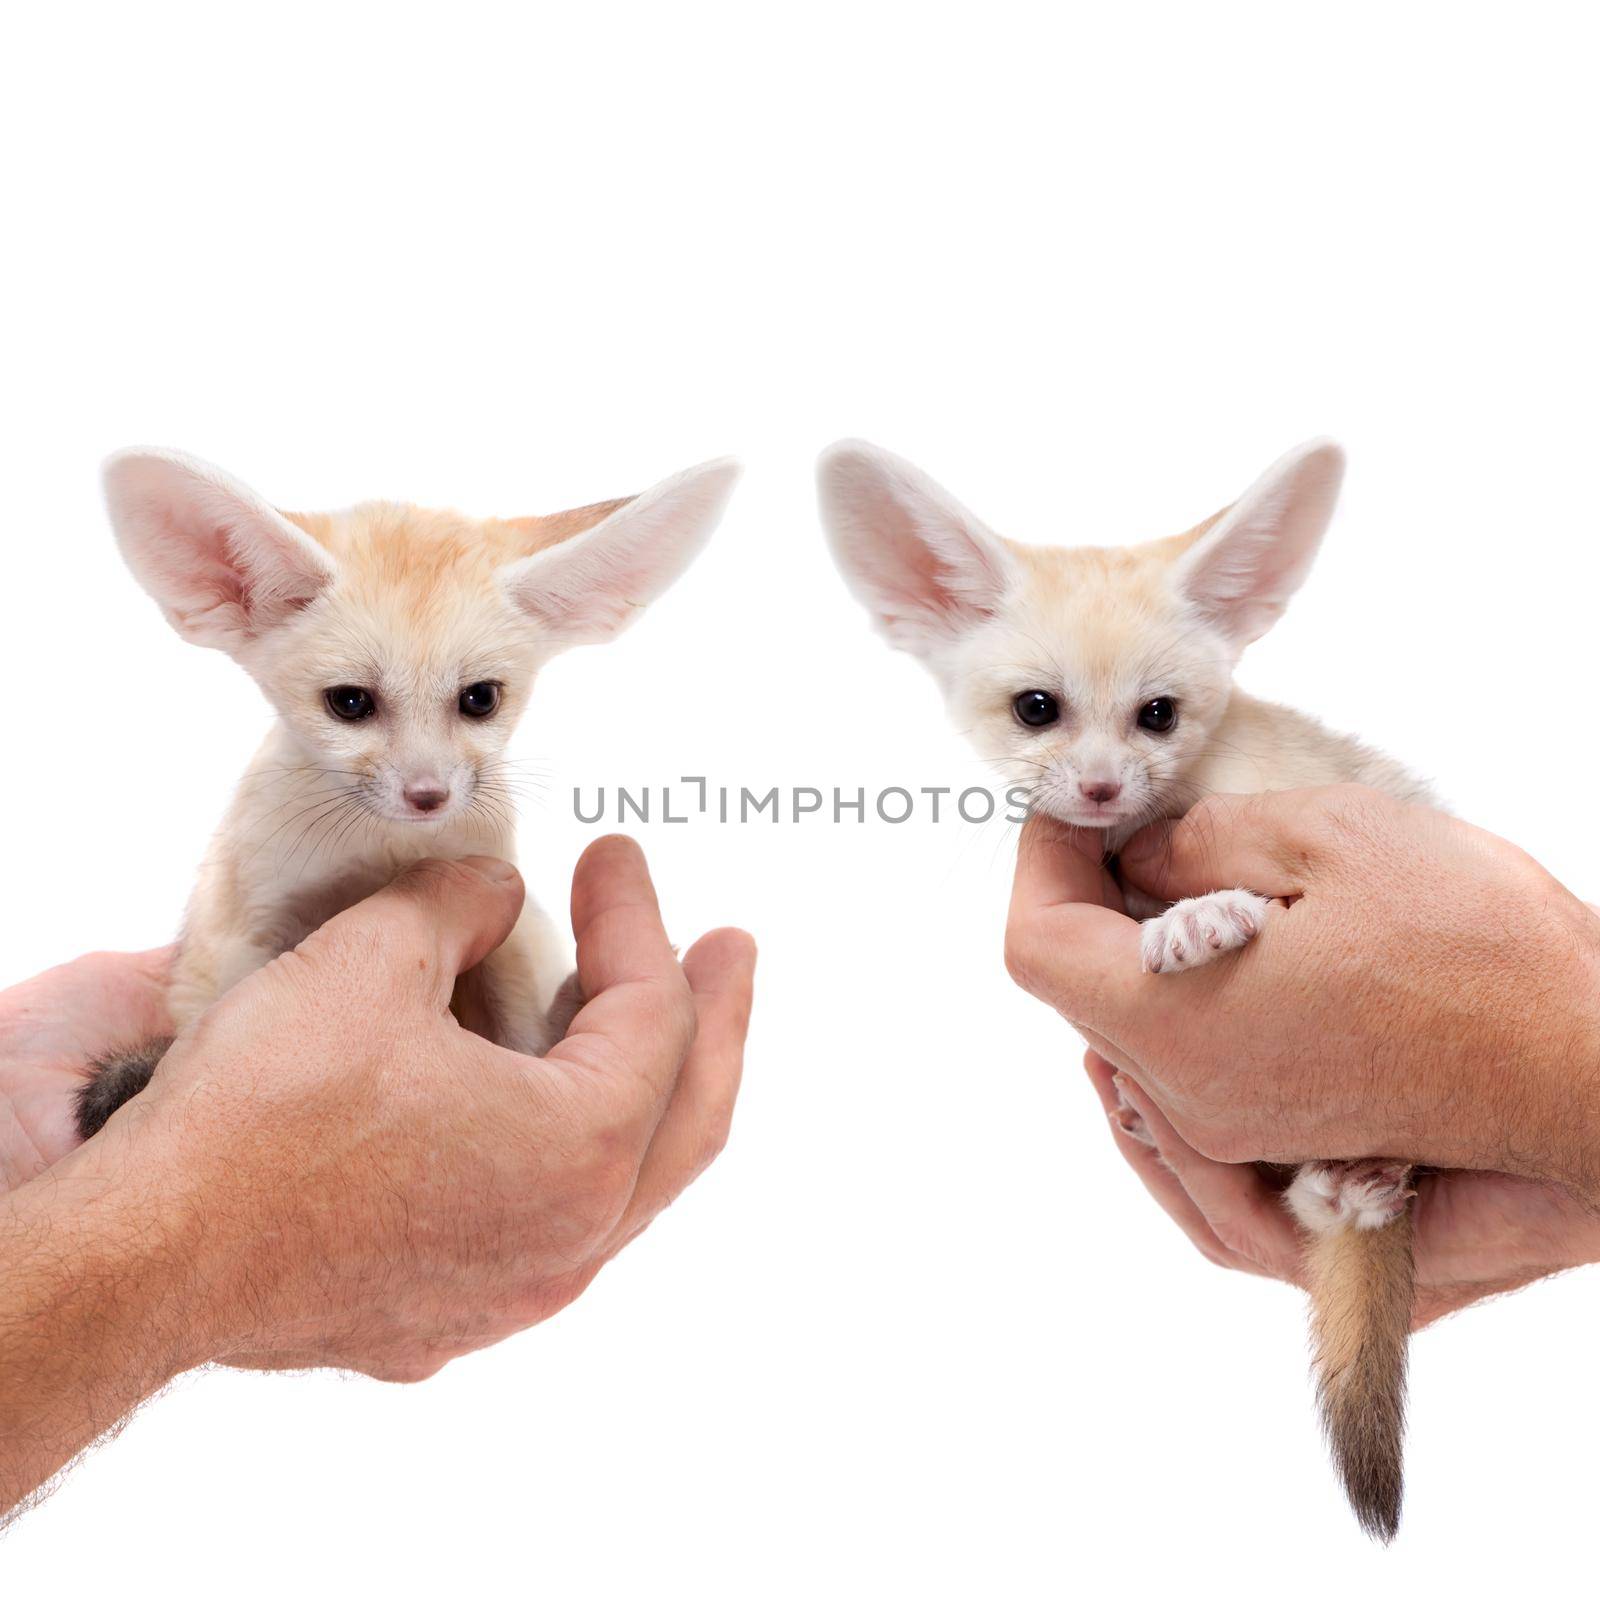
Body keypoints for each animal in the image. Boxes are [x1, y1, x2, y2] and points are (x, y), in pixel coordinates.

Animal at [78, 451, 739, 1139]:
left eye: (480, 698)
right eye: (349, 703)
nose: (428, 796)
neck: (386, 857)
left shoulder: (507, 926)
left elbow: (523, 1039)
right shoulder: (249, 931)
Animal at [819, 438, 1433, 1536]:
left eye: (1158, 715)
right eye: (1037, 708)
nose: (1102, 789)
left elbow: (1251, 890)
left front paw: (1202, 915)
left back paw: (1365, 1176)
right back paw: (1338, 1186)